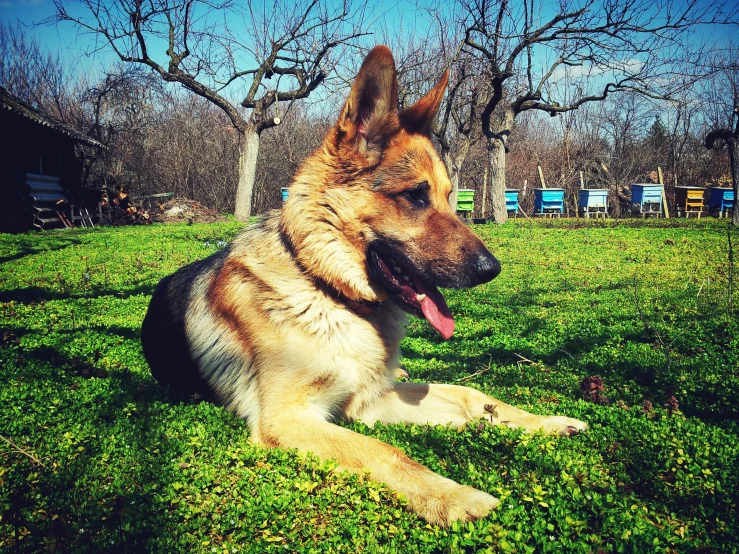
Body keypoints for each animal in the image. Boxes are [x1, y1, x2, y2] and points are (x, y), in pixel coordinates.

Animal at [140, 45, 588, 524]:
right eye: (415, 195)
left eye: (450, 196)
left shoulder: (369, 400)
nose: (493, 269)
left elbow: (469, 394)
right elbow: (385, 451)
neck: (327, 290)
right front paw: (453, 496)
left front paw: (545, 423)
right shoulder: (288, 418)